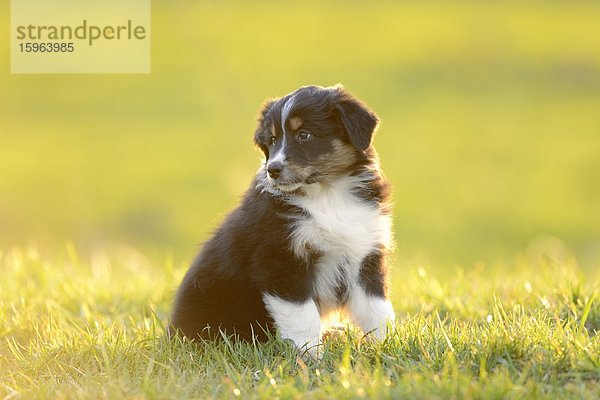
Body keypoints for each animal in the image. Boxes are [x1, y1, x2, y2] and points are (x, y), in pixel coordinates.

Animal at [169, 83, 394, 354]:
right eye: (273, 139)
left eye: (304, 135)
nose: (272, 170)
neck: (328, 194)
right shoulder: (280, 258)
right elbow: (302, 315)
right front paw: (309, 355)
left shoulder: (366, 254)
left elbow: (377, 309)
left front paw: (386, 346)